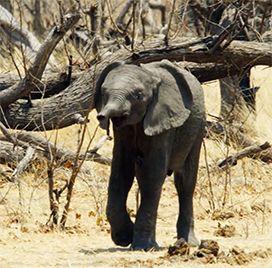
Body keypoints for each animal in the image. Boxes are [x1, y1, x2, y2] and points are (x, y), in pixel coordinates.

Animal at [94, 58, 205, 251]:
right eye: (103, 92)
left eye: (138, 96)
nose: (101, 116)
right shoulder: (123, 130)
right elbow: (120, 172)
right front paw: (124, 238)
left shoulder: (164, 120)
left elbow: (152, 174)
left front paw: (143, 247)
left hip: (198, 126)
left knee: (185, 182)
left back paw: (187, 243)